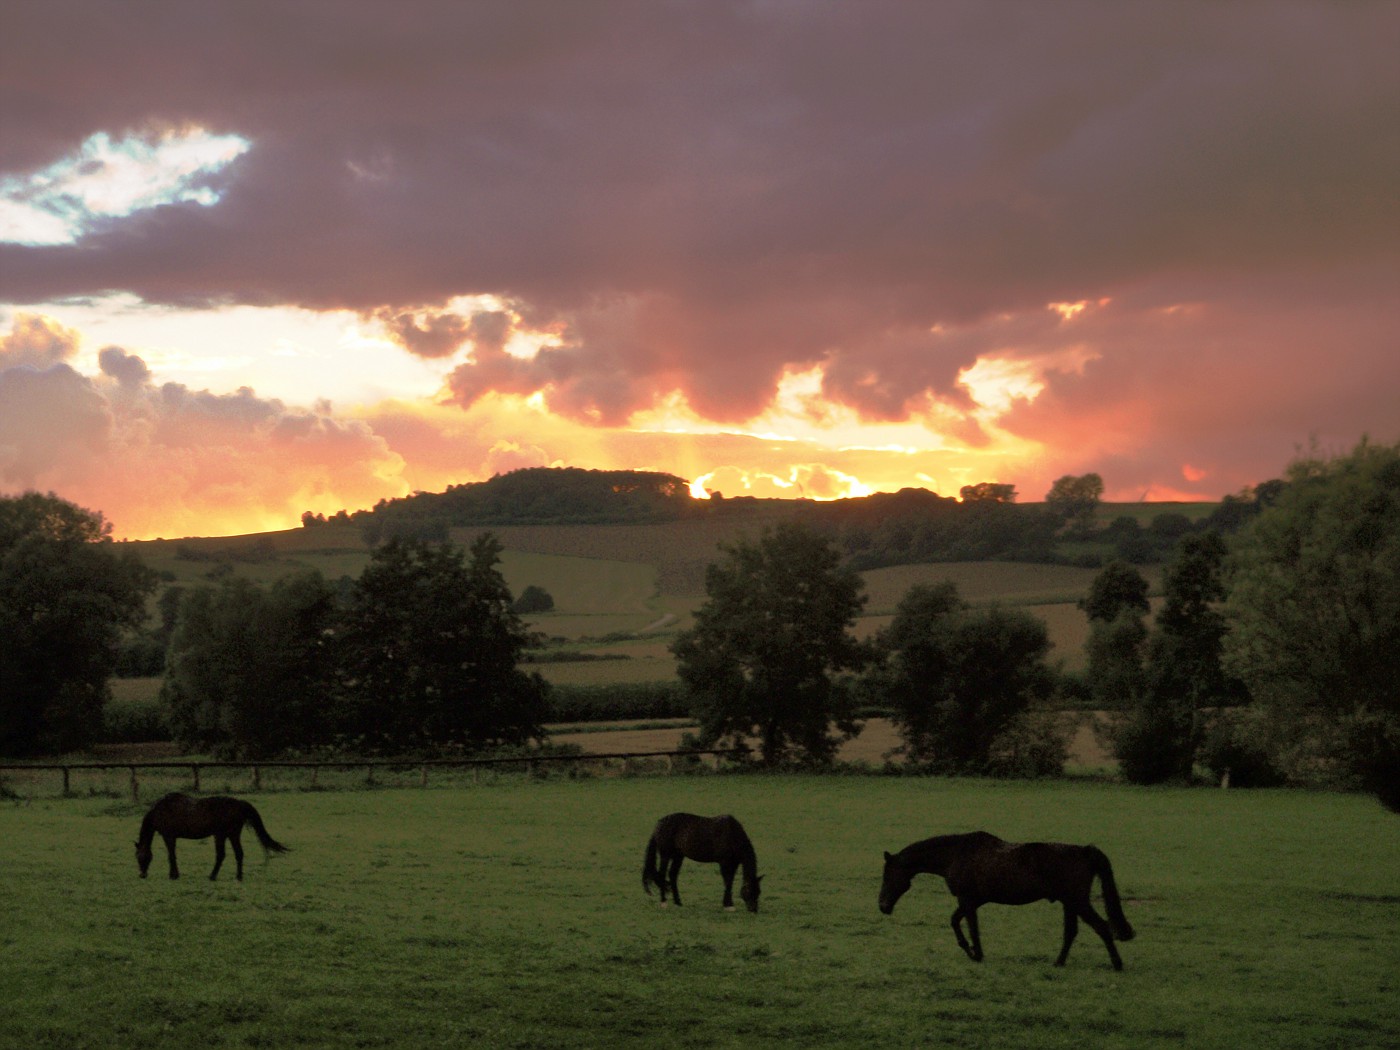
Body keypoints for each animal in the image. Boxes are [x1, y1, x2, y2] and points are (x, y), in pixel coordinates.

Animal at [135, 795, 291, 884]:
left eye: (138, 856)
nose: (142, 874)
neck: (160, 811)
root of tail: (239, 803)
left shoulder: (169, 836)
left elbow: (171, 856)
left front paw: (173, 875)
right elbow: (172, 855)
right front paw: (174, 874)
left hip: (221, 835)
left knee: (221, 855)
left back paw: (212, 876)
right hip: (232, 835)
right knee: (239, 854)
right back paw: (238, 877)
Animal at [873, 828, 1136, 968]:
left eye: (888, 875)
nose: (882, 905)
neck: (955, 854)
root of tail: (1084, 851)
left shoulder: (967, 900)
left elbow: (969, 927)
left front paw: (975, 953)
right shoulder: (973, 901)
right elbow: (958, 922)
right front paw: (971, 950)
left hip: (1078, 901)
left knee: (1102, 927)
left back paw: (1117, 964)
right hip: (1069, 903)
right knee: (1071, 932)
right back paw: (1058, 962)